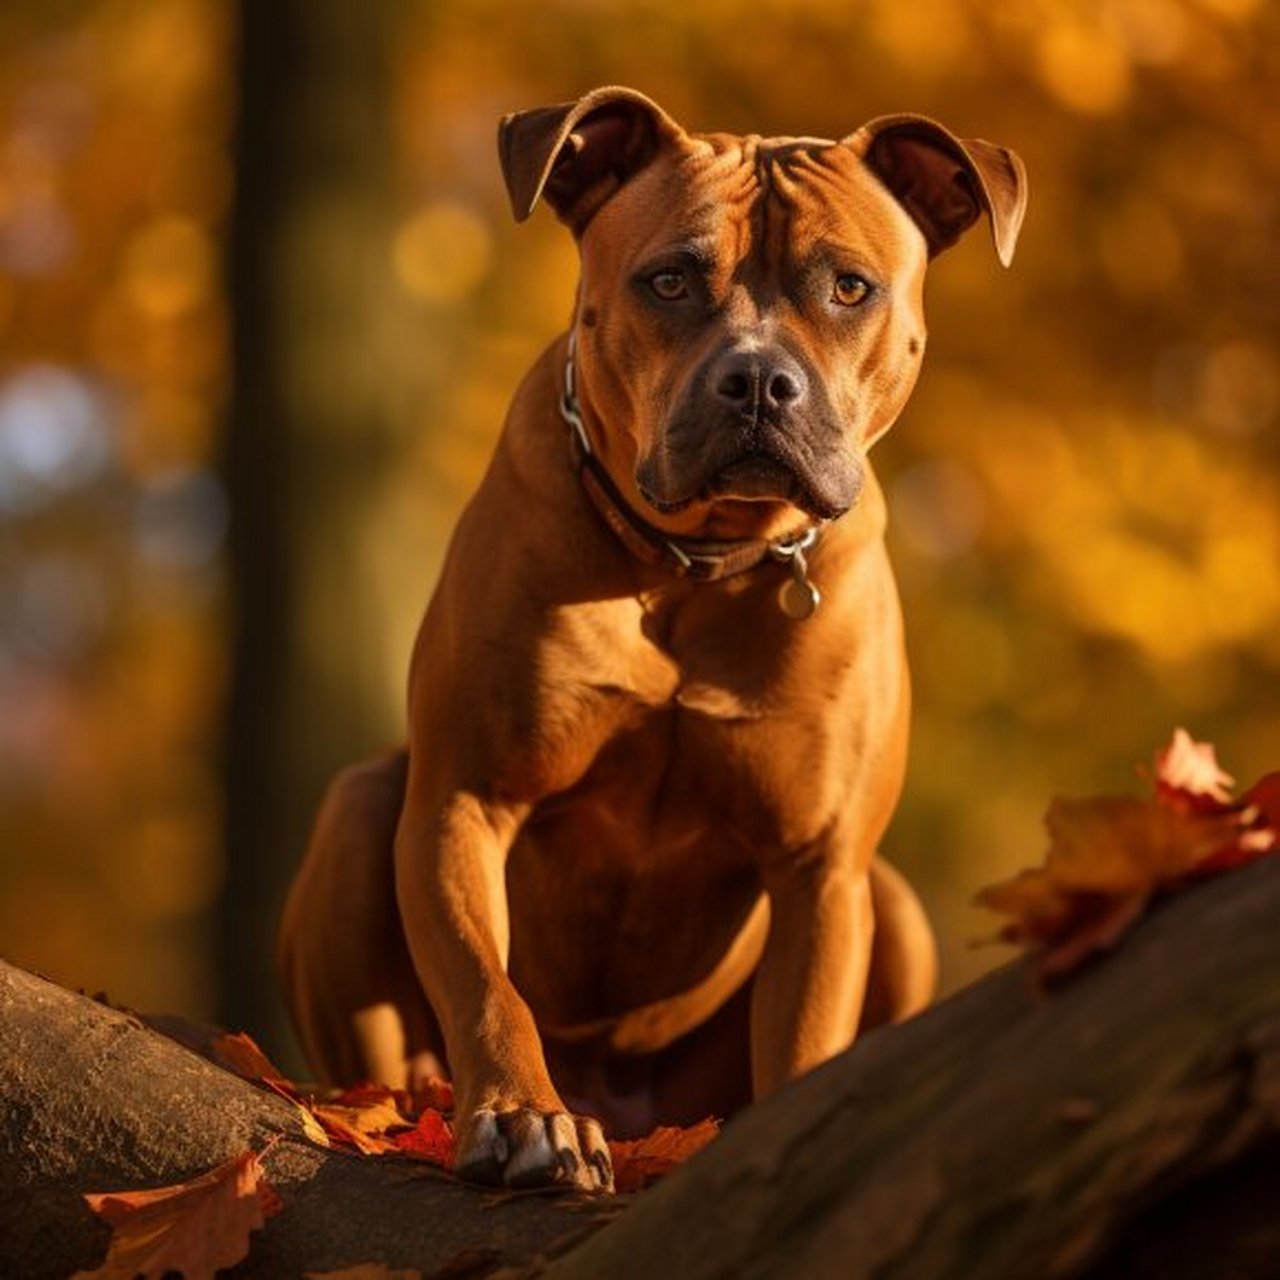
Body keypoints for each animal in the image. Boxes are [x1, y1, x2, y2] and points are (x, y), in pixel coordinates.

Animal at [275, 87, 1024, 1187]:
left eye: (849, 288)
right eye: (668, 280)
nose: (757, 382)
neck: (694, 562)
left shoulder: (821, 866)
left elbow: (804, 1038)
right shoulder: (463, 798)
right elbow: (487, 985)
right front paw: (523, 1115)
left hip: (889, 904)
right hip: (358, 807)